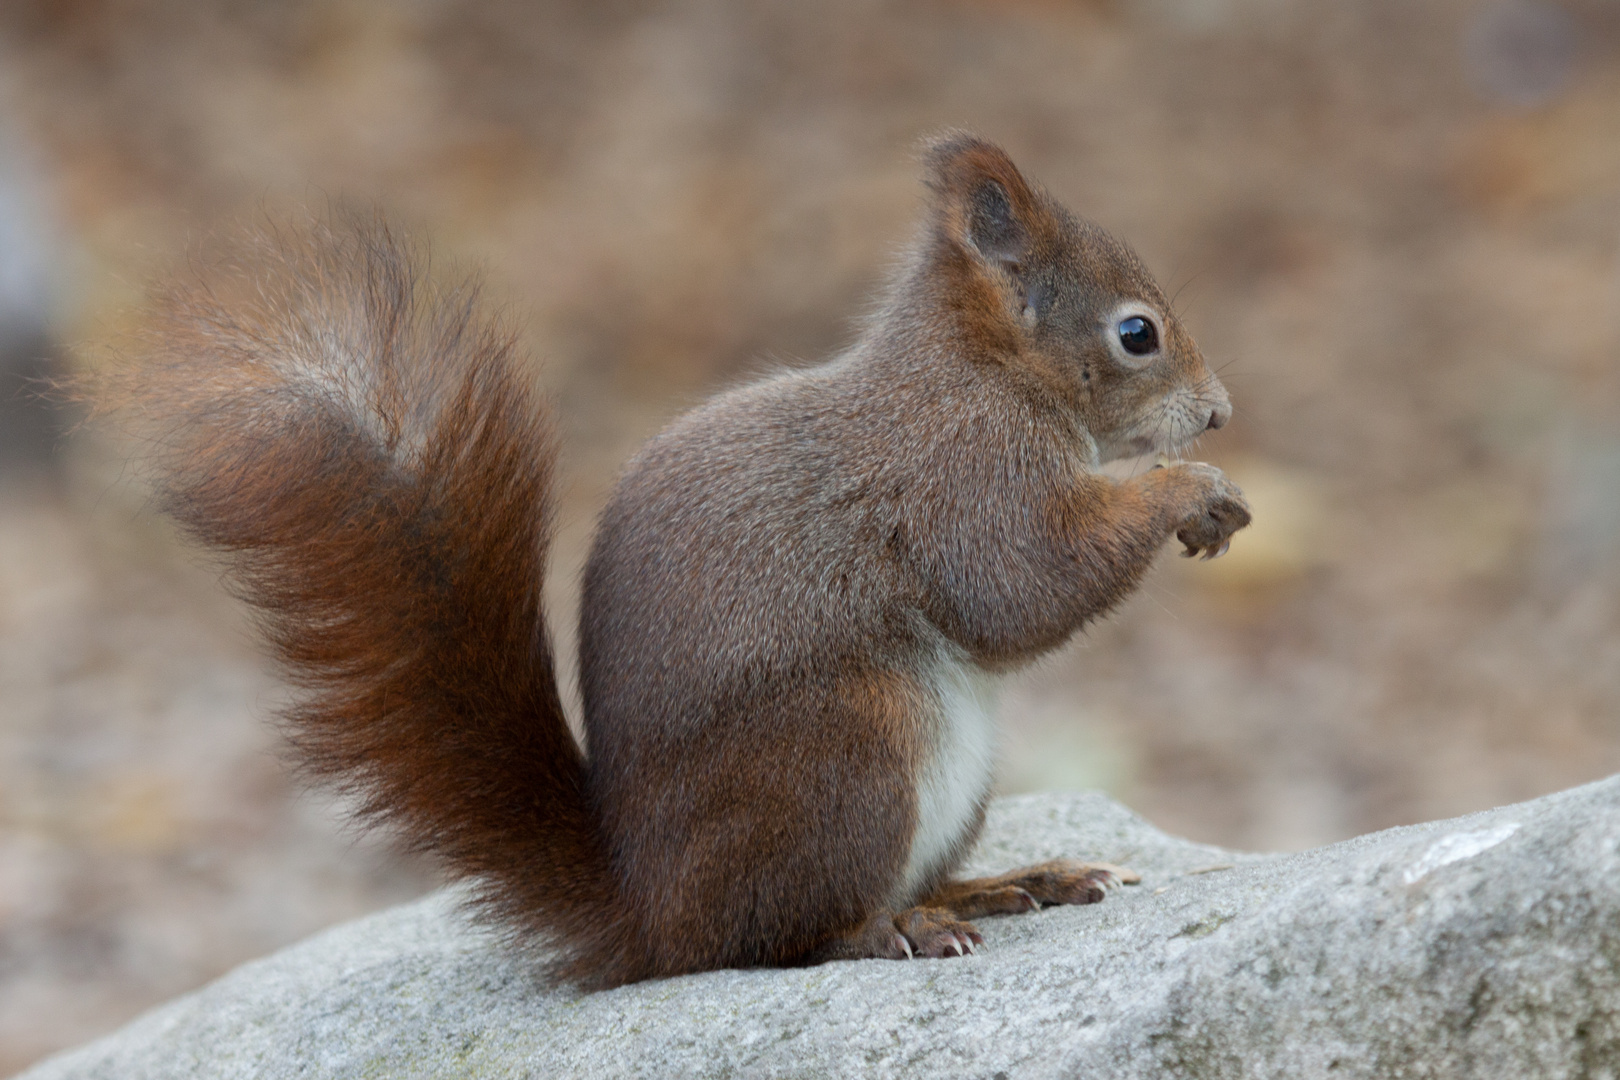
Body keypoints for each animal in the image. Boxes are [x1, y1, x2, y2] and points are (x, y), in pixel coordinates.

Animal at [104, 132, 1250, 990]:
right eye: (1137, 333)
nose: (1221, 413)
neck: (982, 368)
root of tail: (653, 915)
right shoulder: (960, 471)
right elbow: (1019, 585)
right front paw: (1188, 489)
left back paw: (1004, 884)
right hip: (852, 750)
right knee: (780, 938)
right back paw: (897, 929)